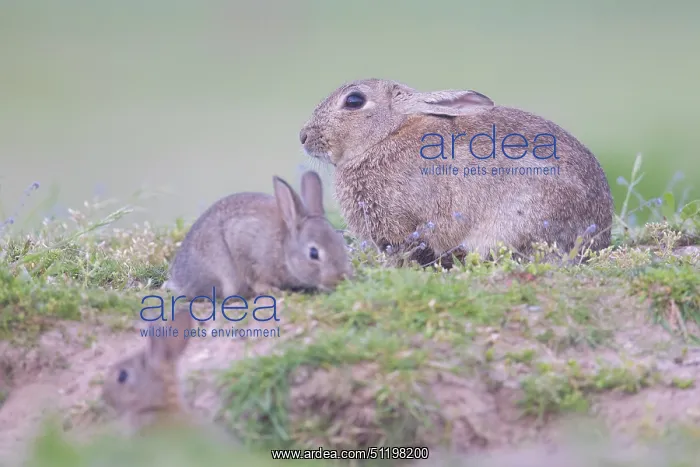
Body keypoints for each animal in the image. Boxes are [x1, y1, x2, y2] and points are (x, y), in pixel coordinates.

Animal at [164, 170, 352, 300]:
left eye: (340, 242)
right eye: (314, 253)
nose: (341, 278)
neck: (283, 247)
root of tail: (178, 280)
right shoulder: (245, 246)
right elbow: (256, 279)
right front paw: (274, 291)